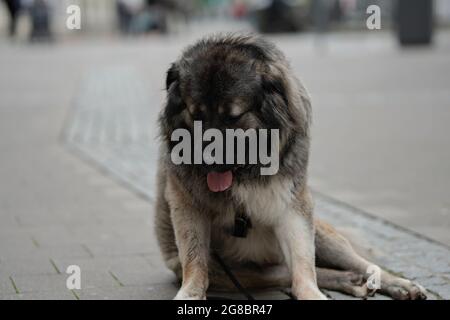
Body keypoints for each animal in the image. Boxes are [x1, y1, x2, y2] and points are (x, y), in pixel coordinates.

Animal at [156, 34, 428, 300]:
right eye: (196, 115)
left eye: (233, 117)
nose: (207, 160)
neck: (246, 171)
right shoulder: (188, 208)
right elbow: (195, 262)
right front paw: (190, 293)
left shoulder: (293, 206)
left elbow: (302, 262)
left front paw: (312, 293)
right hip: (230, 271)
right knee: (280, 272)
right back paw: (351, 281)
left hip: (324, 237)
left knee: (358, 263)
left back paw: (396, 283)